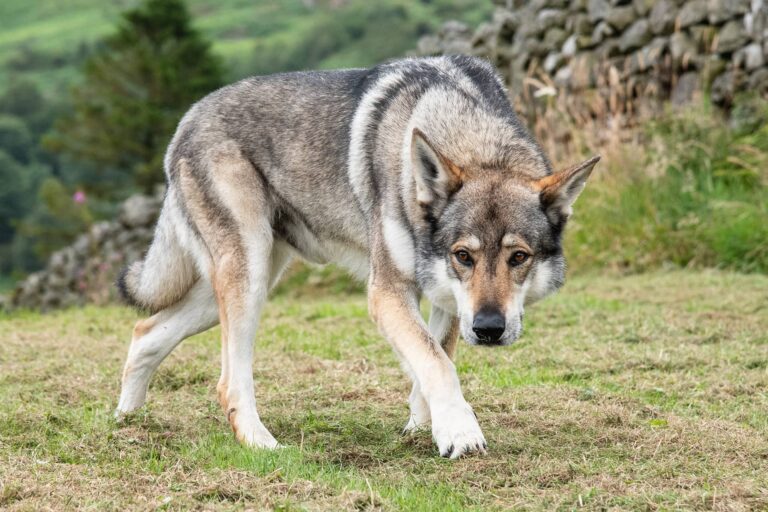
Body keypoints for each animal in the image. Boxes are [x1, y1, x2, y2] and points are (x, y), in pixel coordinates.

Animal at [115, 56, 600, 460]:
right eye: (463, 255)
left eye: (518, 257)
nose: (488, 329)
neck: (471, 138)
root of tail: (188, 118)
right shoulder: (386, 292)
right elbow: (436, 362)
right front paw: (460, 434)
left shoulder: (445, 297)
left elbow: (433, 356)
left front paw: (423, 426)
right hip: (248, 277)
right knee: (228, 381)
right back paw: (260, 443)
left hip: (241, 284)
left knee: (145, 331)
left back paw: (127, 423)